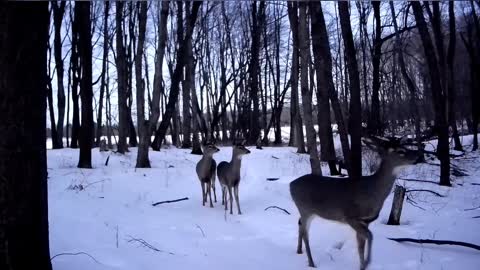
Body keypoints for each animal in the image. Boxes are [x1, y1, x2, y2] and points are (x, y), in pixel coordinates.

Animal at [288, 137, 420, 270]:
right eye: (400, 151)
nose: (418, 155)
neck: (373, 191)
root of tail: (291, 185)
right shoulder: (350, 217)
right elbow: (370, 236)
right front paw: (367, 263)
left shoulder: (366, 221)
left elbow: (361, 245)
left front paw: (362, 266)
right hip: (305, 209)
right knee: (305, 233)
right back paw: (311, 263)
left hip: (309, 212)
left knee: (300, 224)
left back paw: (299, 251)